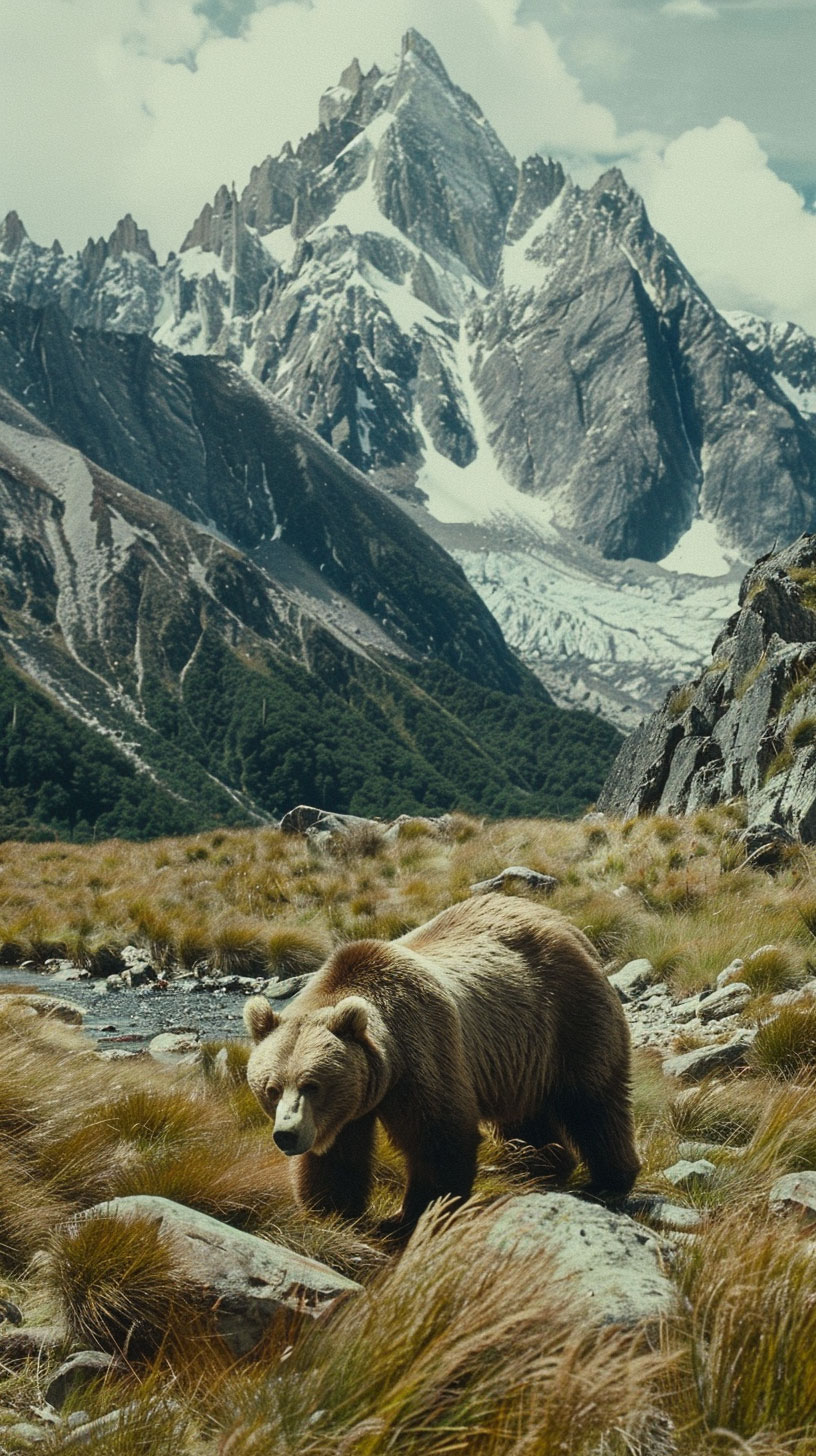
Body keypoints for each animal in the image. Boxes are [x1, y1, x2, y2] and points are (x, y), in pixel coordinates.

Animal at [244, 891, 641, 1234]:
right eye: (272, 1088)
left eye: (312, 1085)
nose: (286, 1134)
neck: (388, 1062)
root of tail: (564, 922)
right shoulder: (352, 1101)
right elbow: (335, 1158)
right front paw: (330, 1213)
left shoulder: (423, 1051)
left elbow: (437, 1135)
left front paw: (412, 1215)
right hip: (518, 1054)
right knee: (524, 1114)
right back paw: (541, 1165)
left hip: (568, 1017)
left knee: (592, 1100)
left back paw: (609, 1179)